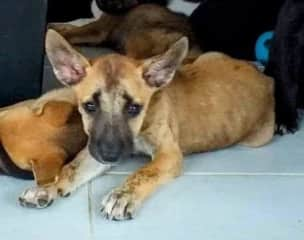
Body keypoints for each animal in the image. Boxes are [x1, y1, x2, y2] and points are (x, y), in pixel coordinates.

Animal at [20, 30, 274, 221]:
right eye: (90, 106)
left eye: (134, 108)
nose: (110, 156)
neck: (142, 126)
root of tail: (267, 80)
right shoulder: (96, 151)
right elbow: (71, 167)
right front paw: (47, 186)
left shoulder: (169, 154)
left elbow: (144, 172)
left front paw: (123, 195)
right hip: (210, 56)